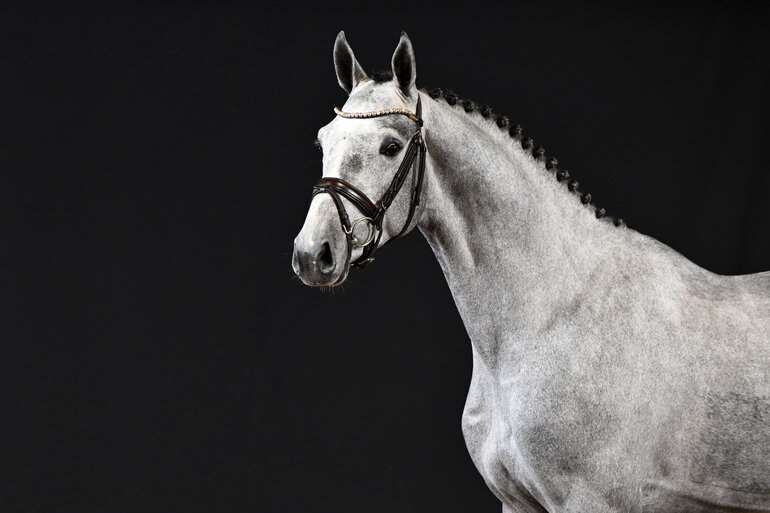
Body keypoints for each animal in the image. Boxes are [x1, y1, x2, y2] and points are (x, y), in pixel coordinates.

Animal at [291, 31, 770, 513]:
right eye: (323, 141)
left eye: (390, 147)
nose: (313, 254)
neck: (551, 316)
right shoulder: (516, 502)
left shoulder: (591, 501)